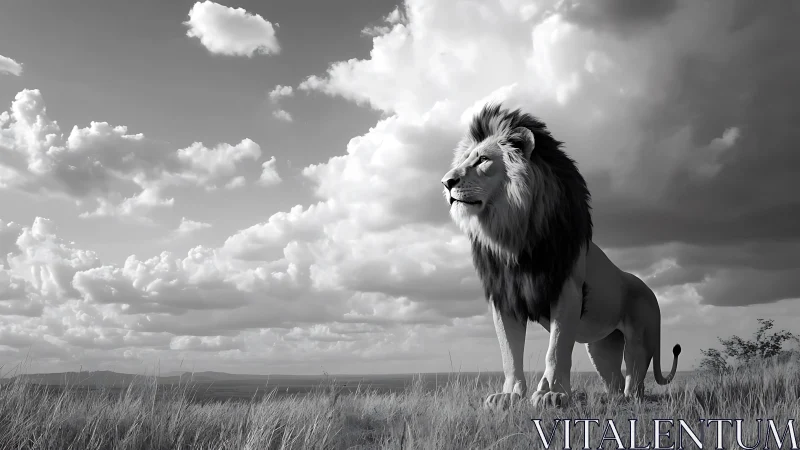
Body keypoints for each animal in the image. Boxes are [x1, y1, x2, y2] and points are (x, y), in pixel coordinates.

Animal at [441, 103, 681, 409]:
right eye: (464, 159)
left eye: (482, 159)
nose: (446, 182)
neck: (512, 234)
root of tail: (649, 290)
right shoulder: (505, 299)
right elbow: (509, 354)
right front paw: (509, 395)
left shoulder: (567, 291)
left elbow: (556, 349)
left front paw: (552, 394)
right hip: (601, 346)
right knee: (613, 378)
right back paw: (611, 401)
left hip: (641, 338)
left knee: (635, 379)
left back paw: (630, 401)